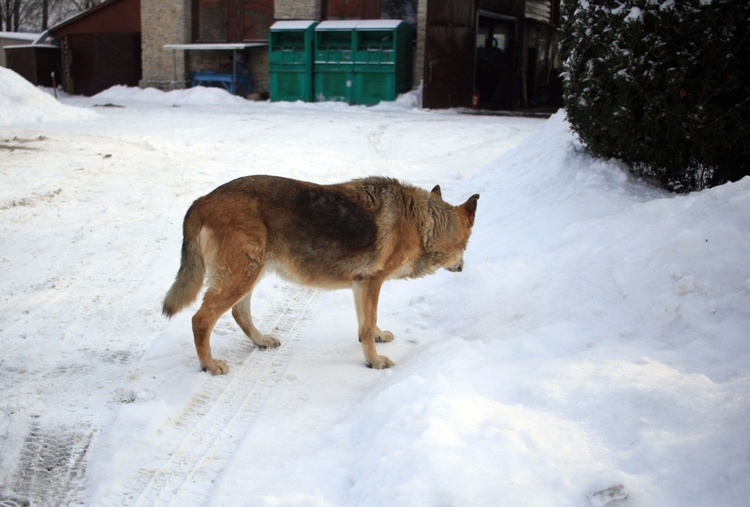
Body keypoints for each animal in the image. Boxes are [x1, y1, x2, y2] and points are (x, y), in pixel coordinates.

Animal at [164, 177, 482, 376]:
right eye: (466, 246)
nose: (463, 268)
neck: (420, 222)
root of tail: (202, 199)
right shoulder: (372, 282)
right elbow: (367, 327)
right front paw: (374, 361)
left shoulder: (361, 286)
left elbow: (368, 324)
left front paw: (378, 338)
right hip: (241, 277)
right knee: (201, 320)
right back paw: (209, 365)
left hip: (250, 275)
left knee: (239, 314)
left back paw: (261, 340)